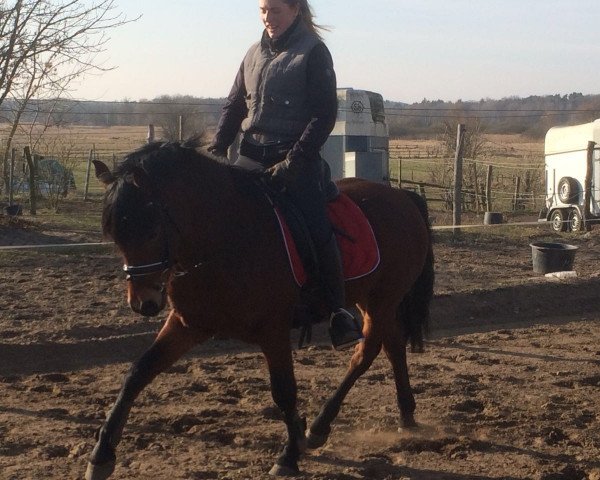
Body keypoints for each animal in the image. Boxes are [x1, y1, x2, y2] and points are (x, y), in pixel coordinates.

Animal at [84, 141, 434, 478]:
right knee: (393, 345)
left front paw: (289, 456)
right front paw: (102, 454)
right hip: (372, 298)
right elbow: (138, 373)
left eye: (152, 230)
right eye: (114, 235)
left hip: (382, 299)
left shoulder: (273, 330)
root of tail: (400, 196)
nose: (143, 304)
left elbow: (284, 391)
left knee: (367, 352)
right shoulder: (187, 324)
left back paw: (320, 426)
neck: (225, 237)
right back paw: (405, 414)